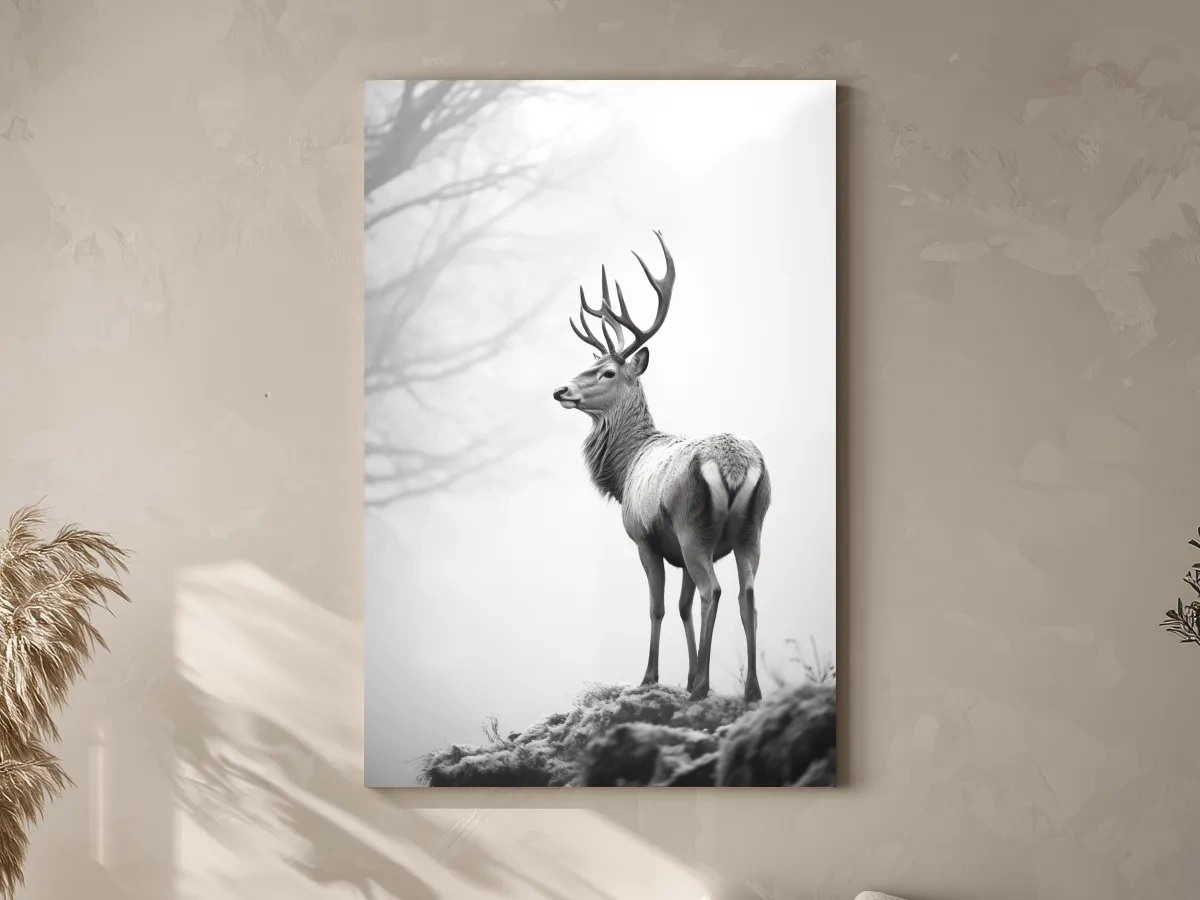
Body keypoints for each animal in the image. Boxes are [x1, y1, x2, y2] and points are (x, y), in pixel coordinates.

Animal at [552, 231, 771, 703]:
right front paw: (685, 675)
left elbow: (659, 607)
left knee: (714, 590)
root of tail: (733, 466)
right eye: (590, 364)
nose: (560, 390)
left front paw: (652, 677)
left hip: (693, 525)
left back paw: (704, 687)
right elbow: (683, 607)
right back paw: (751, 691)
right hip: (751, 528)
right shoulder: (678, 552)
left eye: (607, 371)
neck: (626, 469)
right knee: (746, 595)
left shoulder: (645, 537)